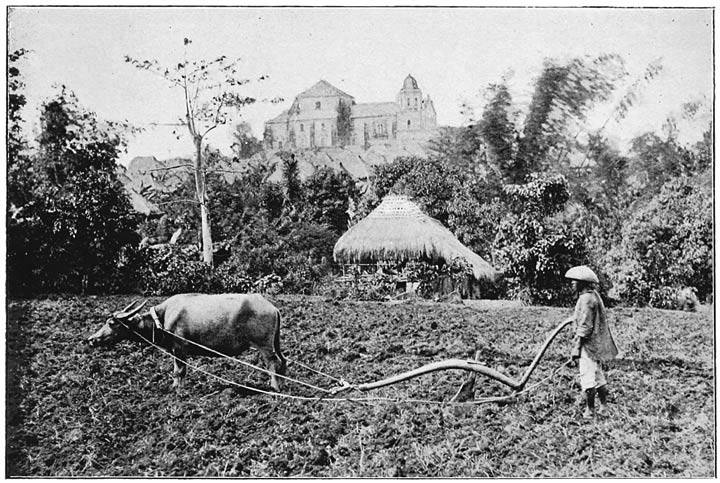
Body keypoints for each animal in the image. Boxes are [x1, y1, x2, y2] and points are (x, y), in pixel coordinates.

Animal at [86, 294, 286, 392]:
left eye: (112, 323)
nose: (91, 339)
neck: (163, 317)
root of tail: (272, 307)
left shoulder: (180, 349)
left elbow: (179, 371)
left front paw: (178, 390)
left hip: (264, 345)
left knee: (272, 363)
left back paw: (274, 387)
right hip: (274, 344)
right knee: (283, 361)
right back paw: (282, 384)